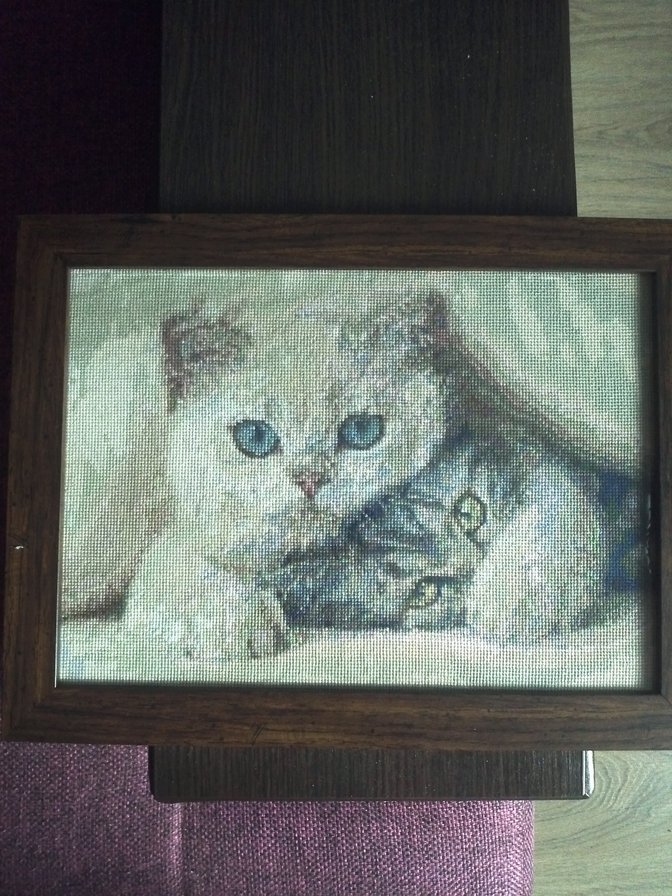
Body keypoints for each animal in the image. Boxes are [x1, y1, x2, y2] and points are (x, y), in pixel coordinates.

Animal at [121, 292, 459, 661]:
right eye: (255, 436)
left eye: (361, 429)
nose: (309, 478)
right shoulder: (188, 541)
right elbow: (184, 570)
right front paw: (242, 625)